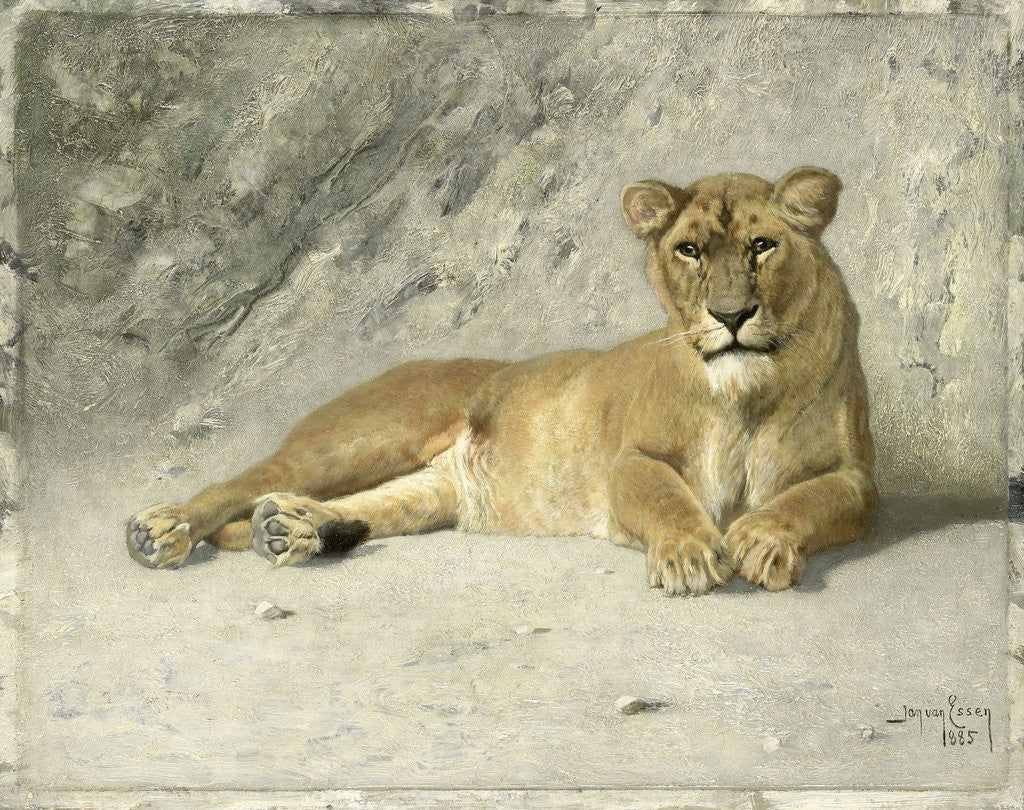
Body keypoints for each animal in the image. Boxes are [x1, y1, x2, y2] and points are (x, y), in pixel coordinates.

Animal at [127, 166, 876, 594]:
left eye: (762, 246)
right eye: (689, 250)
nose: (731, 315)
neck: (747, 392)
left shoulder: (858, 479)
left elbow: (810, 500)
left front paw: (764, 537)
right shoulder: (631, 460)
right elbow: (667, 496)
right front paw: (692, 555)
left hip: (430, 492)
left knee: (365, 505)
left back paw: (292, 531)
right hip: (361, 438)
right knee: (249, 481)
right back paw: (162, 530)